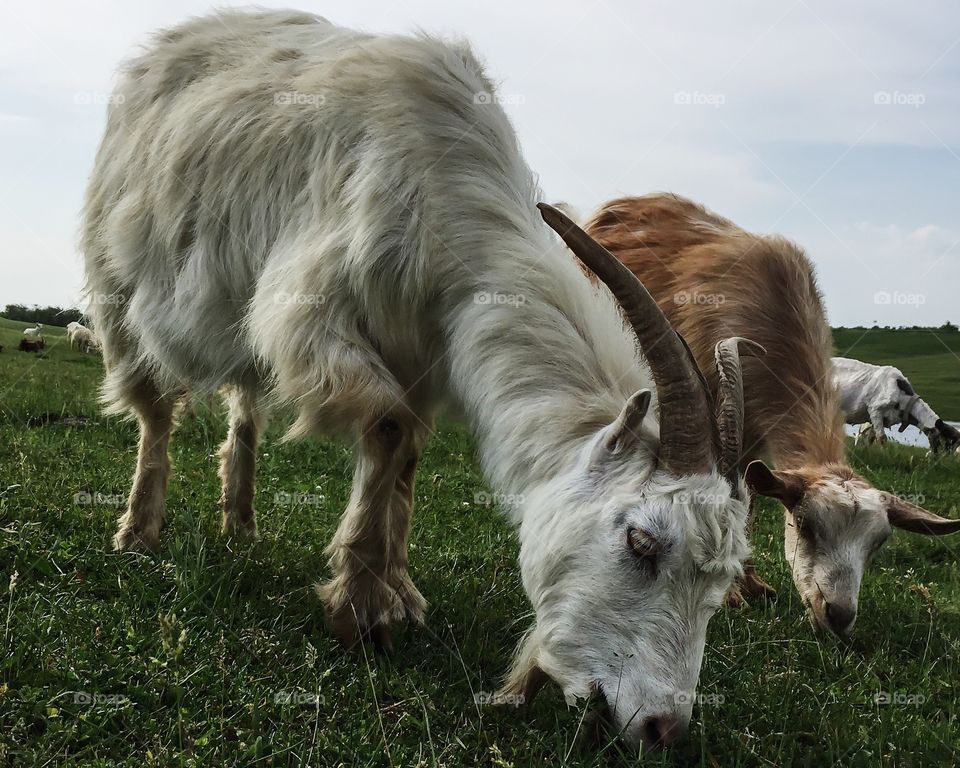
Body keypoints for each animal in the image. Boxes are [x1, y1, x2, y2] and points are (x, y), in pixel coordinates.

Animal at [81, 11, 761, 748]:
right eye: (641, 542)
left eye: (722, 585)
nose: (664, 726)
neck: (445, 190)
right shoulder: (317, 314)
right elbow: (386, 428)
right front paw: (359, 609)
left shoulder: (425, 359)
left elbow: (406, 455)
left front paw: (400, 592)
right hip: (121, 285)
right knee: (155, 410)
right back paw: (138, 531)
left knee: (245, 404)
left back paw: (240, 523)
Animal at [584, 193, 960, 637]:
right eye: (805, 524)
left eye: (879, 542)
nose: (839, 614)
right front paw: (732, 592)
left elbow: (750, 497)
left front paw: (750, 584)